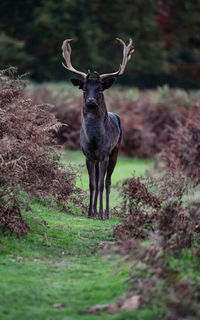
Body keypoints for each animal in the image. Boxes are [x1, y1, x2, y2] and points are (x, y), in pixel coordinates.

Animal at [61, 37, 134, 218]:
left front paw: (100, 213)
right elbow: (92, 184)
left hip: (116, 151)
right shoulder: (88, 155)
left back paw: (106, 213)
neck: (94, 140)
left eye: (100, 88)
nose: (91, 101)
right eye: (84, 89)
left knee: (107, 182)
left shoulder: (104, 154)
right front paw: (89, 212)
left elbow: (101, 184)